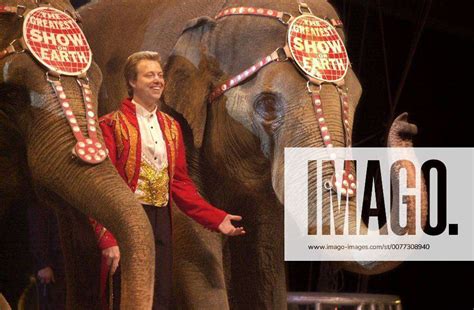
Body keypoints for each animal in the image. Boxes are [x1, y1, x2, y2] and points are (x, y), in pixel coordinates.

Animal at [79, 0, 428, 308]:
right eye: (268, 105)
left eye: (354, 101)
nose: (405, 124)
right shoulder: (177, 119)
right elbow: (192, 240)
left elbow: (265, 253)